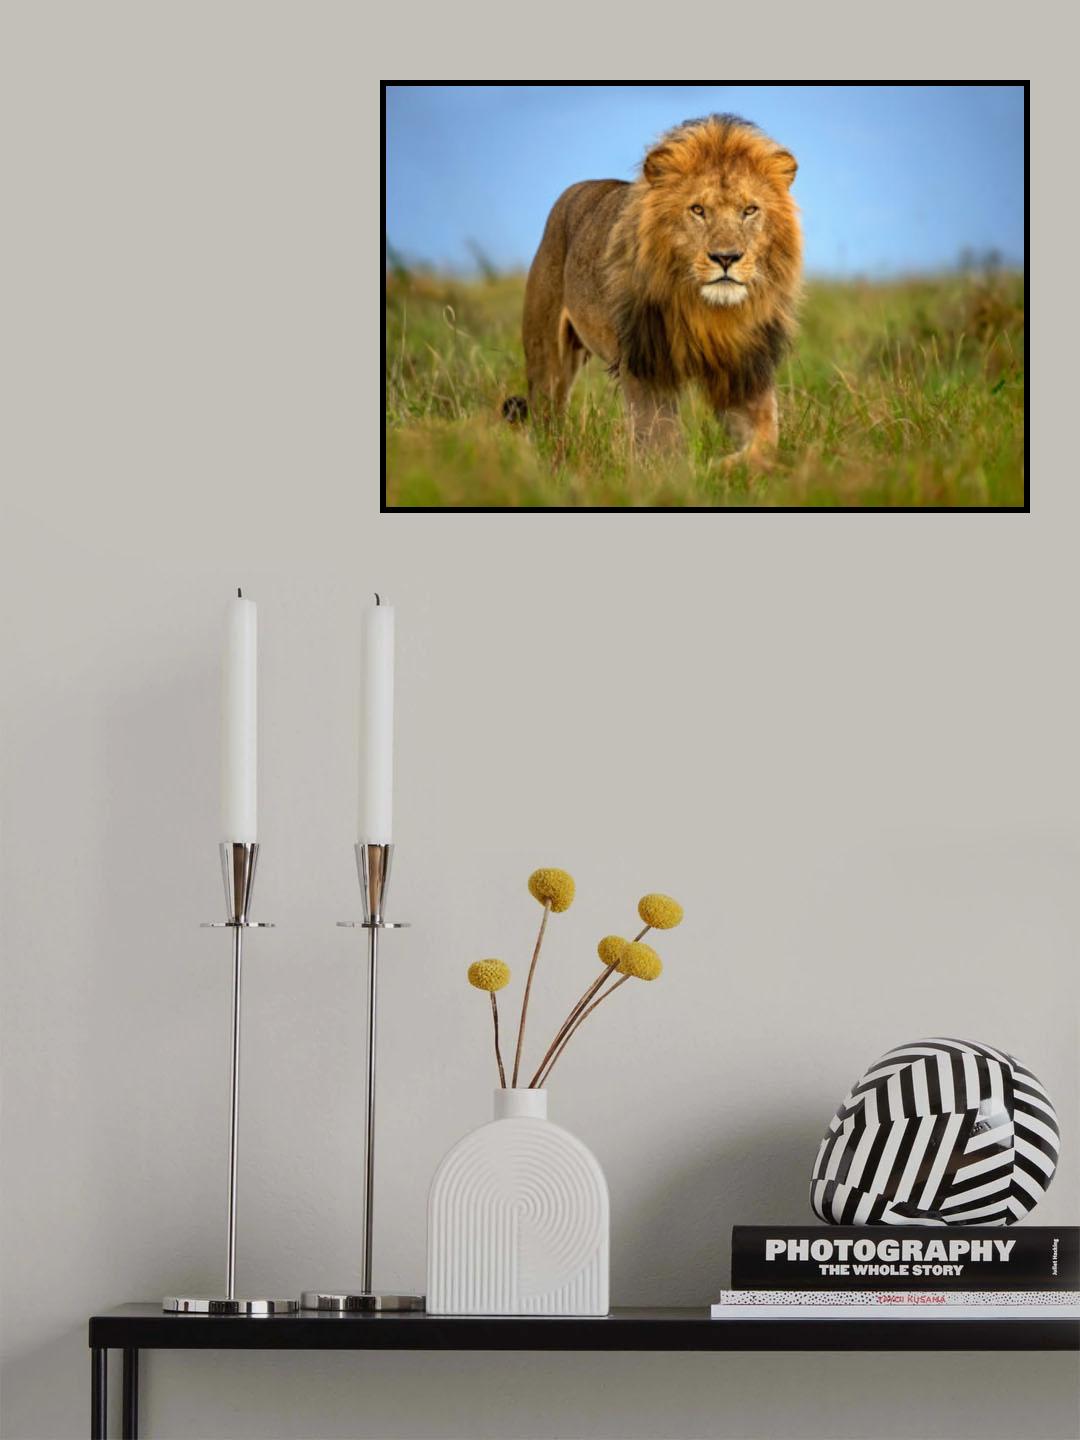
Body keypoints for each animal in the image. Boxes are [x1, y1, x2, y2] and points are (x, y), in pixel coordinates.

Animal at [505, 114, 802, 464]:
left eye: (750, 210)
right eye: (698, 210)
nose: (726, 257)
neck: (708, 311)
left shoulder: (743, 367)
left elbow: (766, 441)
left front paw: (724, 465)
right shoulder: (645, 364)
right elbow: (659, 439)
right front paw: (681, 472)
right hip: (546, 351)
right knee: (545, 412)